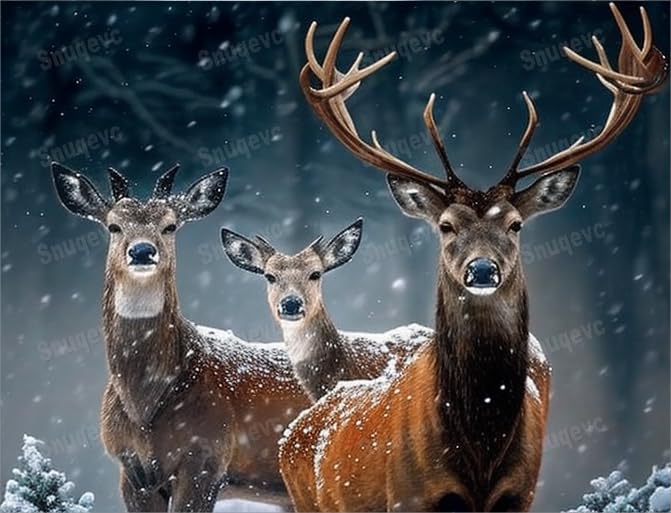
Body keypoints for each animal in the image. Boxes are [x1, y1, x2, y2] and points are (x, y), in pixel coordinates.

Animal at [51, 162, 311, 512]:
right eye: (114, 226)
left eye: (170, 226)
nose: (142, 251)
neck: (146, 406)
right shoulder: (129, 468)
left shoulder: (207, 457)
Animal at [279, 4, 667, 511]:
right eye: (446, 225)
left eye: (516, 225)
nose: (482, 269)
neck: (481, 446)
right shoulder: (408, 494)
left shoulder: (520, 492)